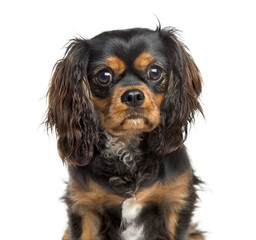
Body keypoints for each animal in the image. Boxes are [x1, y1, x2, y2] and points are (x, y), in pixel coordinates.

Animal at [45, 26, 204, 240]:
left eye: (155, 71)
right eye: (104, 75)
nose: (133, 95)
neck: (127, 146)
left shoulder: (175, 203)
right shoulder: (84, 207)